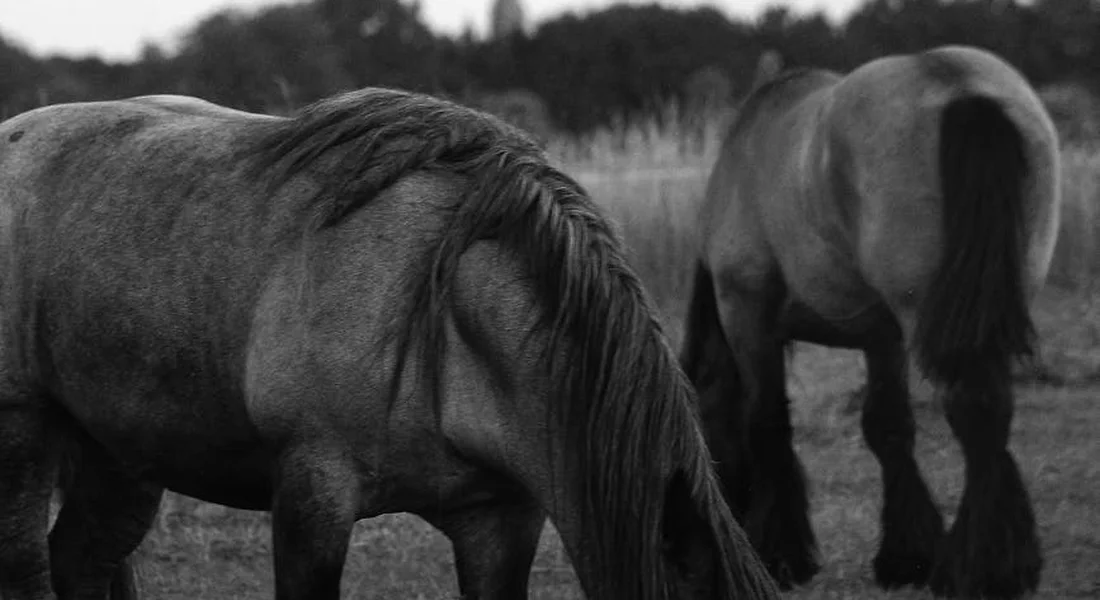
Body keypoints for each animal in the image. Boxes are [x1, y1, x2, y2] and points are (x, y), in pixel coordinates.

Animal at [0, 88, 781, 600]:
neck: (447, 326)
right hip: (27, 430)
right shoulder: (314, 494)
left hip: (122, 452)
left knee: (79, 560)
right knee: (28, 566)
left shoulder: (502, 519)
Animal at [679, 45, 1060, 599]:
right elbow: (889, 428)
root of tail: (958, 83)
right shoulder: (884, 336)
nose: (689, 546)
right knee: (991, 410)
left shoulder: (746, 311)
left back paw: (980, 569)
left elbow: (766, 420)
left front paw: (780, 554)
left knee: (973, 408)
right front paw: (908, 555)